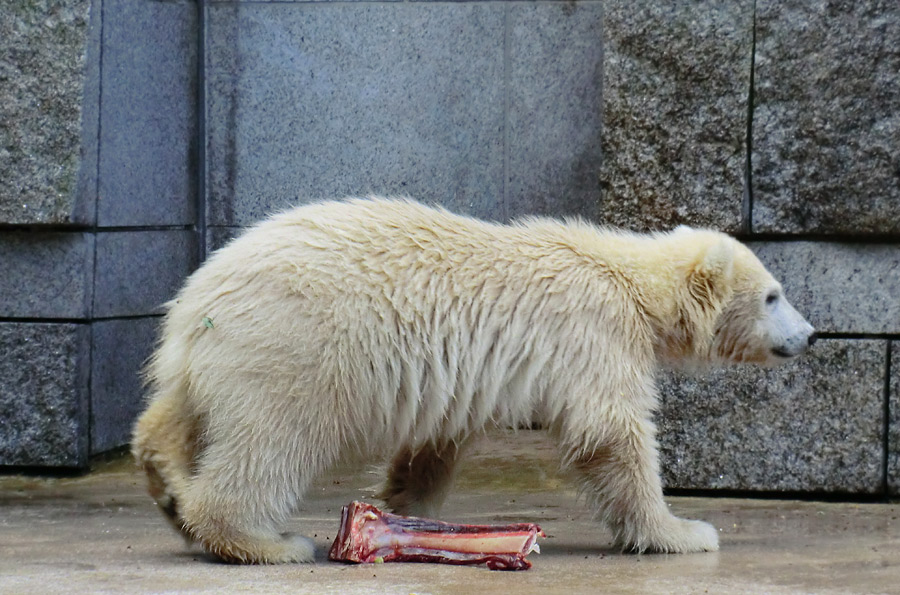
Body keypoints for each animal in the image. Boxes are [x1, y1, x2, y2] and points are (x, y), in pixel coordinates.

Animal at [132, 199, 816, 564]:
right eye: (773, 294)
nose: (811, 335)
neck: (629, 279)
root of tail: (198, 295)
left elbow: (433, 447)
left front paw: (406, 511)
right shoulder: (594, 332)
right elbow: (611, 432)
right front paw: (684, 532)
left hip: (209, 356)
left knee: (173, 417)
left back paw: (167, 487)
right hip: (294, 346)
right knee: (274, 439)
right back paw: (265, 540)